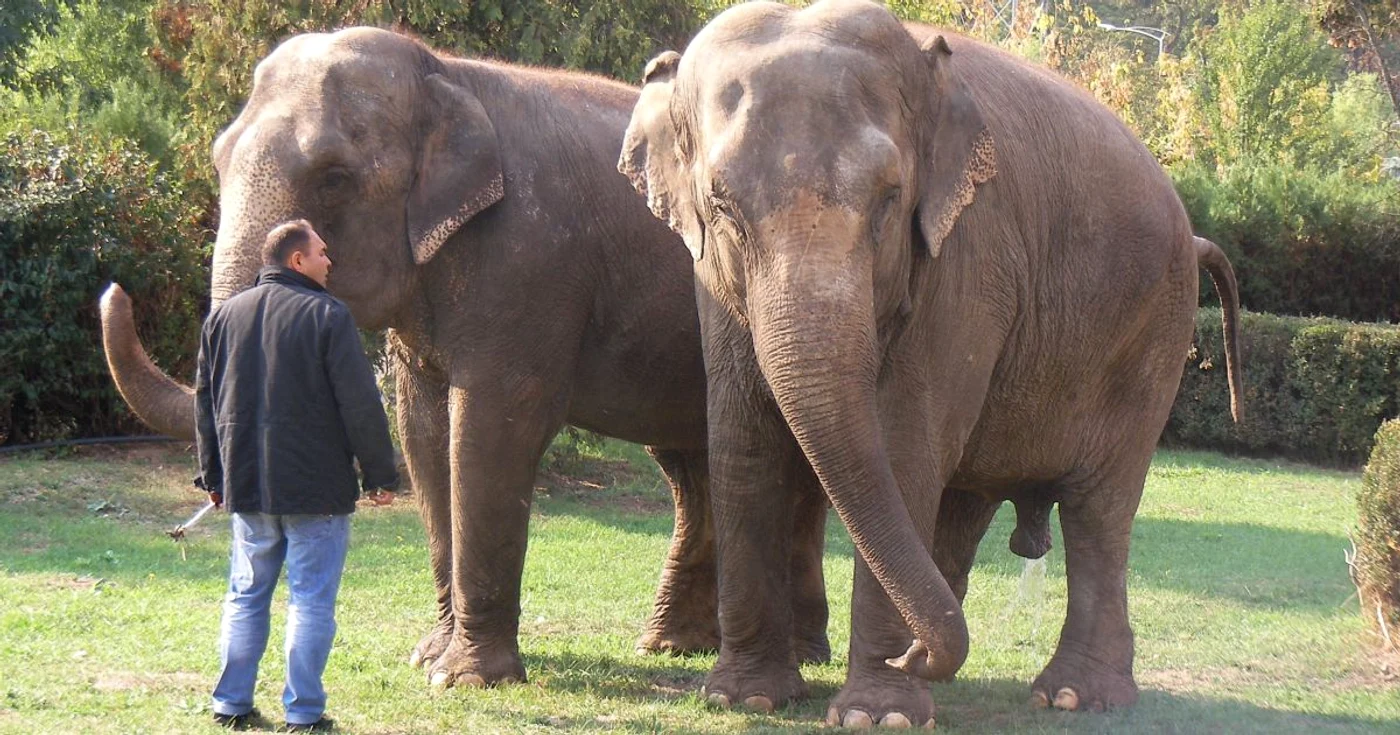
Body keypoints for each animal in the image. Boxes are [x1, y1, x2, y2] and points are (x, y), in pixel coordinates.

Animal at [99, 27, 836, 689]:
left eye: (334, 177)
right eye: (218, 159)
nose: (115, 291)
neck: (443, 72)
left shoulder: (529, 258)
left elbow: (491, 428)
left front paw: (464, 678)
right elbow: (424, 435)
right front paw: (428, 657)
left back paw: (797, 655)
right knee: (688, 464)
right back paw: (669, 646)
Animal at [619, 0, 1243, 726]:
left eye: (890, 198)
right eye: (721, 205)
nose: (911, 654)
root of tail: (1192, 233)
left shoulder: (968, 255)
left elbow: (904, 445)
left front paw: (876, 713)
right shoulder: (710, 280)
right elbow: (744, 439)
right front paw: (743, 695)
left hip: (1151, 338)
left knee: (1100, 509)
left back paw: (1072, 695)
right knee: (968, 501)